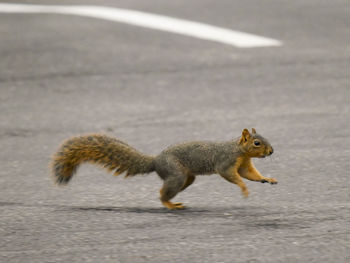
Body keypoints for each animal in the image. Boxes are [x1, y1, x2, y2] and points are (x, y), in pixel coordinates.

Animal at [52, 128, 278, 210]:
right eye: (257, 143)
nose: (271, 151)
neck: (239, 150)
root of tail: (156, 161)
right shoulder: (225, 161)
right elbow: (233, 176)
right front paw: (244, 189)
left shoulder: (245, 164)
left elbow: (250, 175)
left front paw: (268, 179)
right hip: (176, 175)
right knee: (162, 192)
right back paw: (170, 204)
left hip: (186, 178)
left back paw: (172, 202)